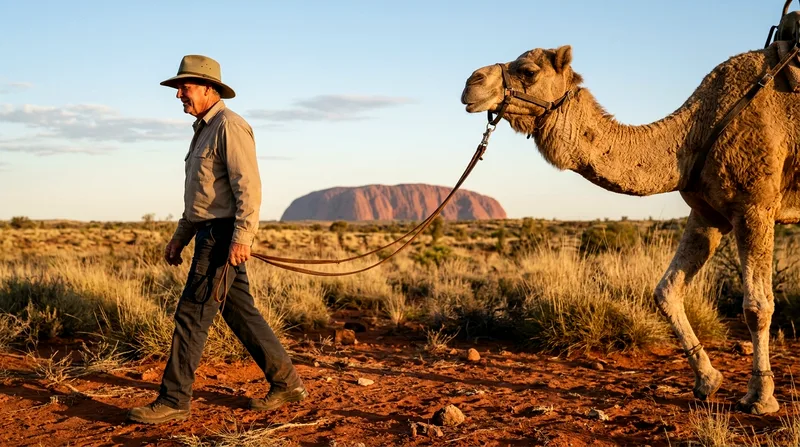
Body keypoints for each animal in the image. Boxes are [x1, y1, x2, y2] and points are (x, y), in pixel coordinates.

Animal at [460, 43, 800, 415]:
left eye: (528, 71)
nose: (471, 82)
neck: (698, 129)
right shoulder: (707, 214)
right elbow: (666, 291)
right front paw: (707, 380)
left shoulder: (755, 205)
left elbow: (757, 306)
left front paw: (761, 396)